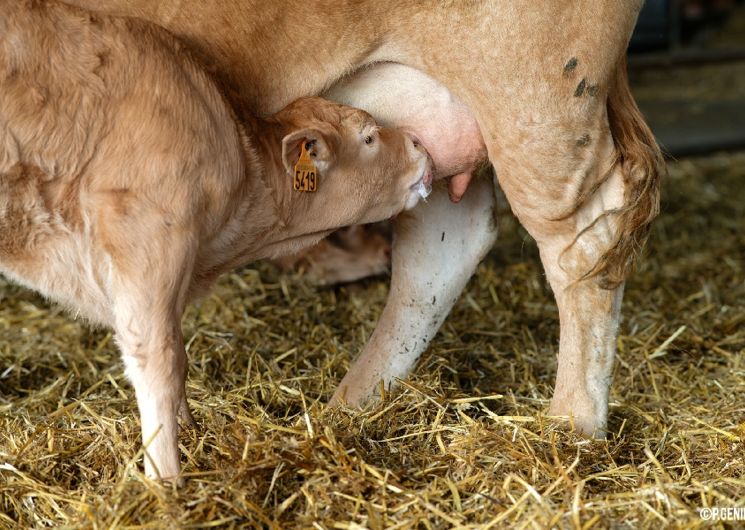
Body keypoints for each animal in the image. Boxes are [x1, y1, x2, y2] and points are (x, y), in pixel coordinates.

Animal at [0, 0, 430, 478]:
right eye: (370, 137)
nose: (419, 145)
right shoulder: (146, 237)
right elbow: (160, 360)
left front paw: (190, 429)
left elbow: (180, 358)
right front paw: (165, 478)